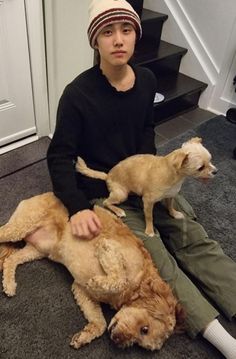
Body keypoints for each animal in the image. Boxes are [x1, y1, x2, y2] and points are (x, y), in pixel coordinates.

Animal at [0, 194, 184, 352]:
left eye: (139, 342)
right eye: (145, 329)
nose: (118, 341)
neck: (138, 286)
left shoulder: (81, 290)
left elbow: (100, 323)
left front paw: (84, 336)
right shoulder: (109, 247)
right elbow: (120, 279)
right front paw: (97, 282)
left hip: (37, 250)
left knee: (11, 260)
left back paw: (9, 285)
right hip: (21, 226)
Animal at [76, 137, 217, 236]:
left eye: (210, 160)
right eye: (200, 168)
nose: (216, 171)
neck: (175, 177)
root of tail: (108, 175)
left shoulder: (171, 195)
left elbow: (170, 206)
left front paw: (174, 214)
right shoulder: (148, 201)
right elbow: (149, 217)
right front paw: (149, 231)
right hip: (121, 194)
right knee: (106, 202)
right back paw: (119, 211)